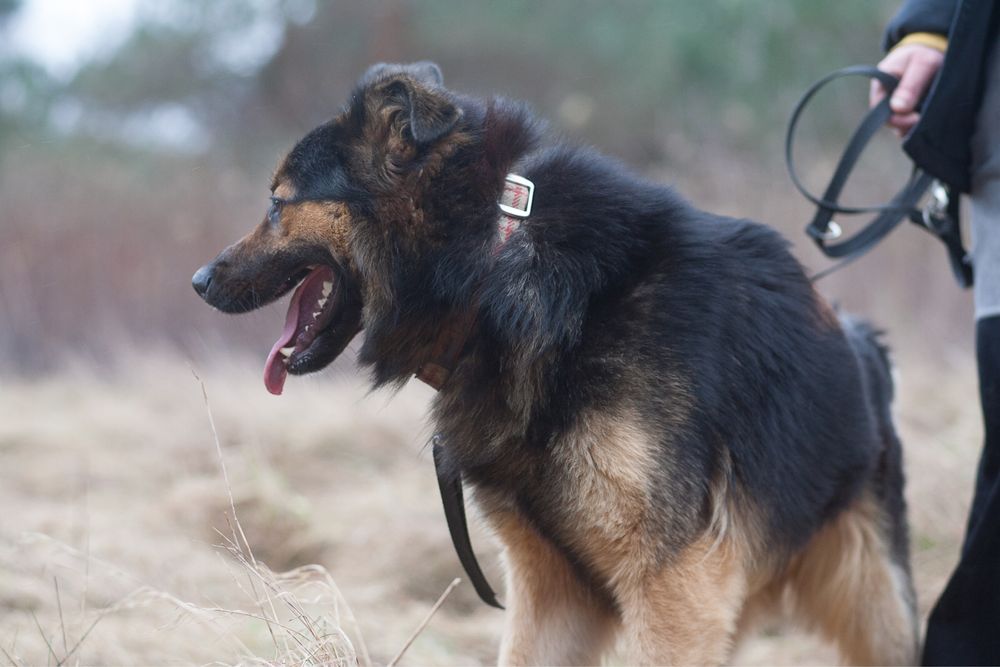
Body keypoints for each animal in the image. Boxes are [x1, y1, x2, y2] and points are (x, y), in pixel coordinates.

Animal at [191, 61, 916, 664]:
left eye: (277, 201)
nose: (199, 281)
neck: (497, 264)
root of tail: (863, 346)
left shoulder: (673, 581)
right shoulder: (553, 591)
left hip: (871, 601)